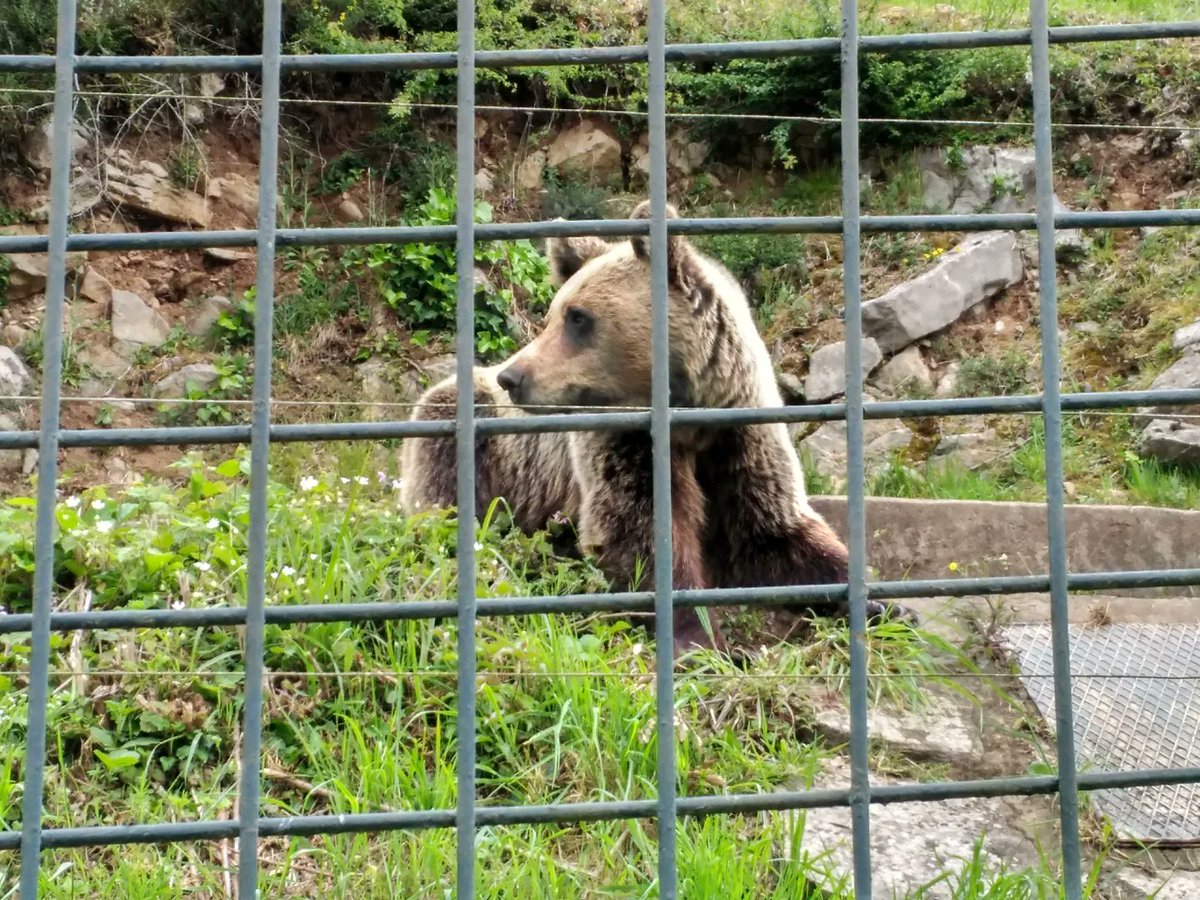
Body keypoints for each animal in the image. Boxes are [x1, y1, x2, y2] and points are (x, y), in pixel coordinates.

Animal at [400, 201, 911, 657]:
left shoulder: (740, 435)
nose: (513, 377)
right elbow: (636, 531)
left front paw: (884, 603)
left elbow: (772, 532)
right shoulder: (624, 440)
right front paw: (701, 639)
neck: (689, 416)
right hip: (477, 436)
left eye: (577, 317)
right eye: (555, 314)